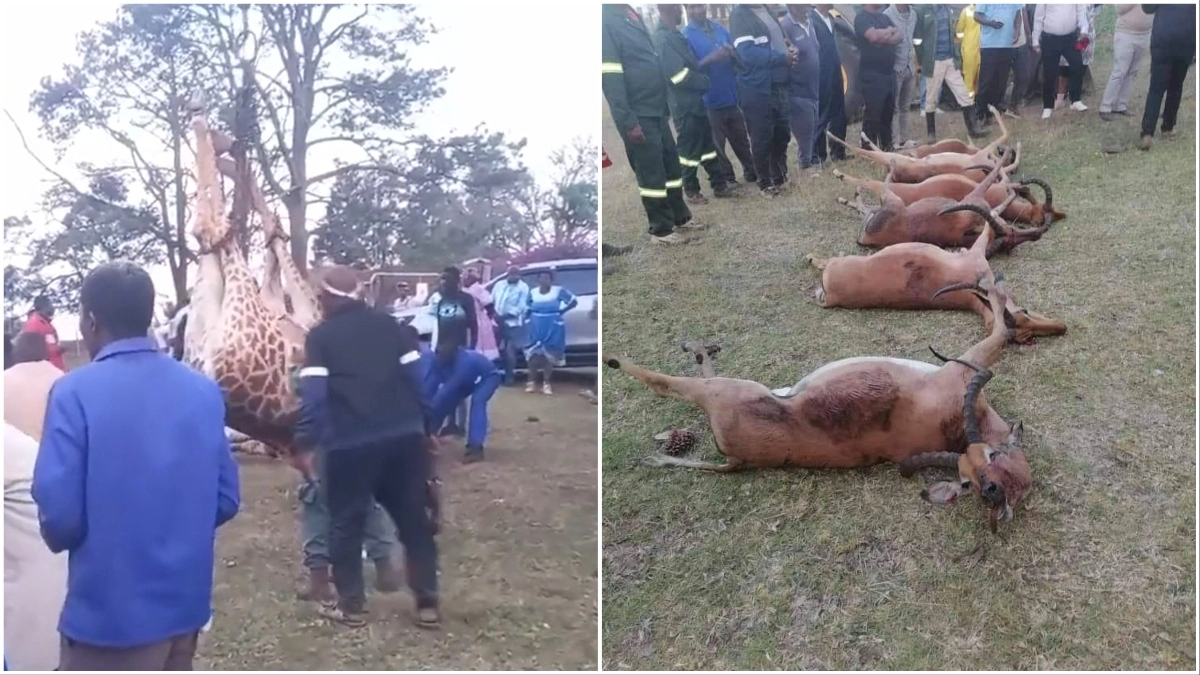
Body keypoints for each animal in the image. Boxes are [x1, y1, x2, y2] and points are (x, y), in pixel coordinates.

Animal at [609, 281, 1022, 485]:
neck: (957, 426)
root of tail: (737, 459)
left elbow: (1001, 330)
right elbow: (1001, 327)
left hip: (725, 390)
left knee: (662, 381)